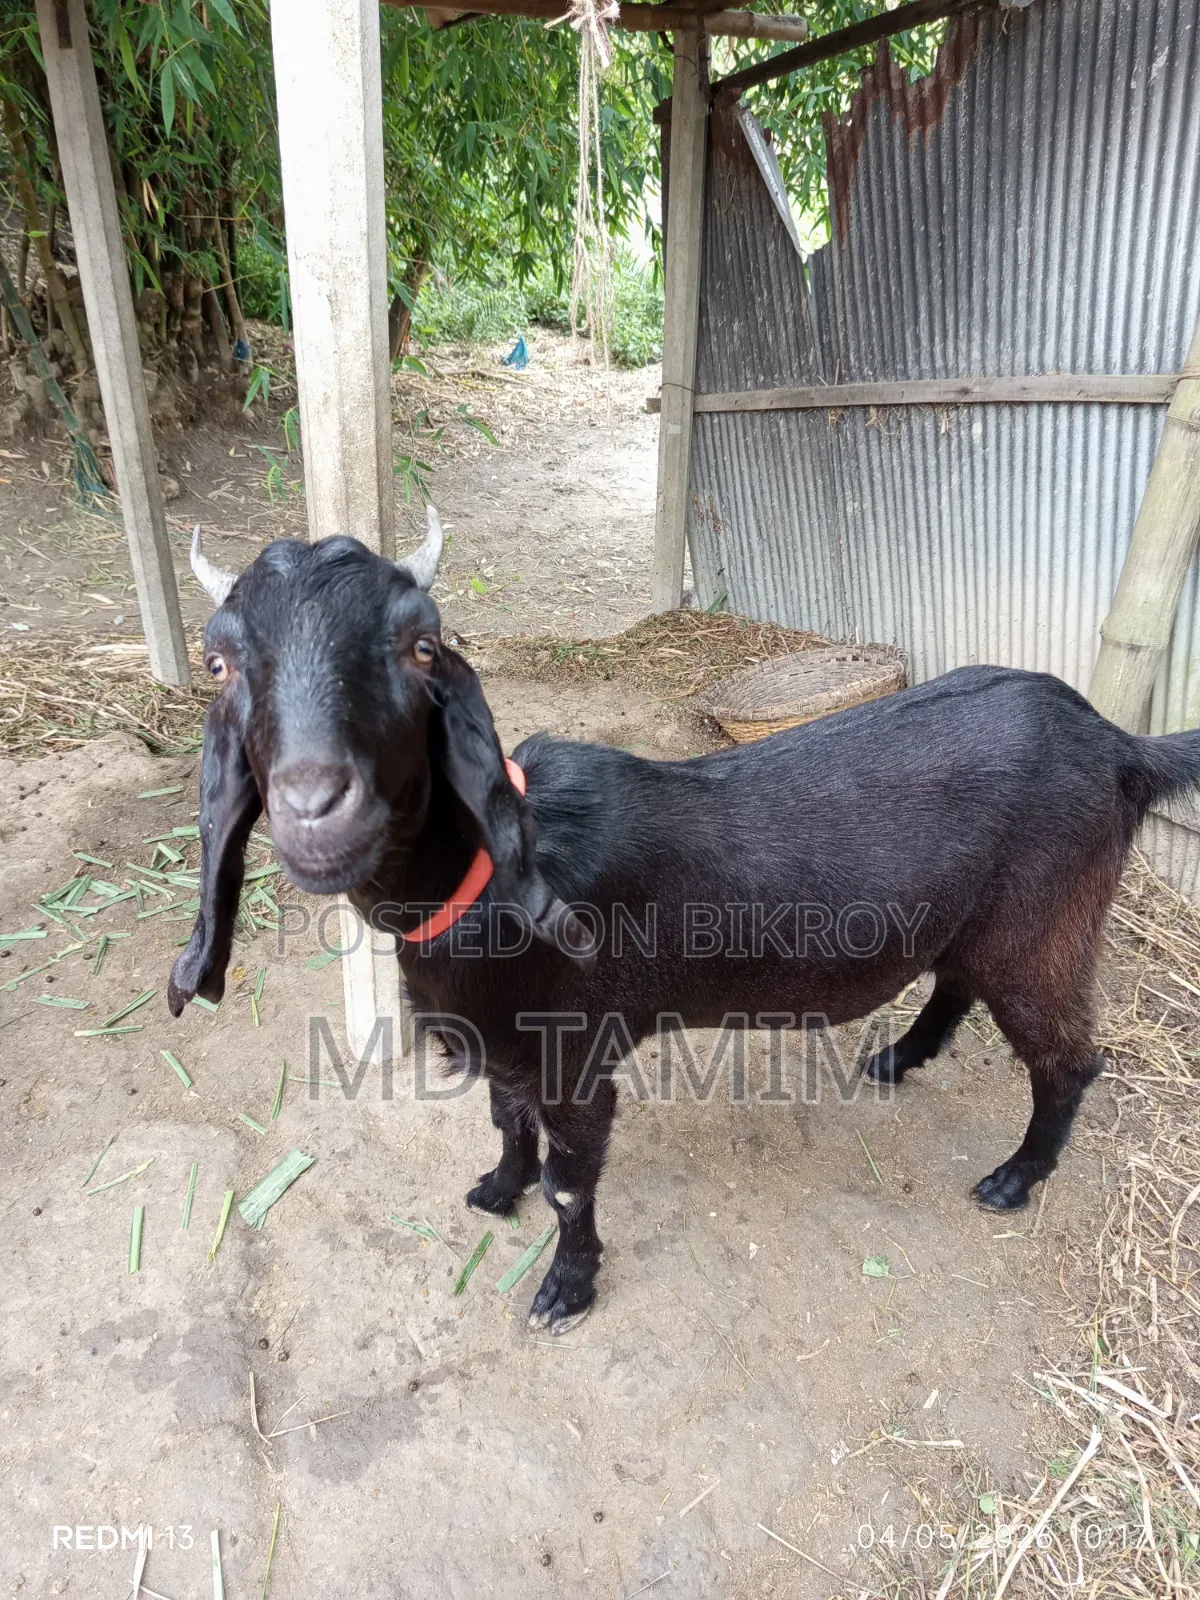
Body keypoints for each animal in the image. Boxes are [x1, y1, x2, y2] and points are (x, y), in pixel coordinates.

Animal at [170, 515, 1200, 1332]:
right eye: (220, 662)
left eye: (422, 647)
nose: (314, 807)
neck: (486, 891)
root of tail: (1119, 745)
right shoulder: (506, 1042)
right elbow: (505, 1122)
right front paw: (496, 1191)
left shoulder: (577, 1055)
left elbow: (570, 1181)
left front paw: (565, 1290)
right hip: (981, 917)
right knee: (955, 978)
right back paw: (898, 1059)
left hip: (1046, 922)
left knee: (1069, 1056)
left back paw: (1014, 1178)